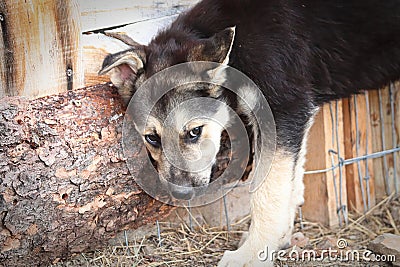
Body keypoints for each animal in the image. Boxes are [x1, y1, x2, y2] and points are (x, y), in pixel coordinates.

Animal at [99, 1, 400, 266]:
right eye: (152, 138)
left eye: (195, 131)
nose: (180, 194)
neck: (238, 57)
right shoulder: (295, 120)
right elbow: (290, 184)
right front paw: (278, 239)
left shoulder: (284, 111)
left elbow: (267, 193)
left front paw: (252, 254)